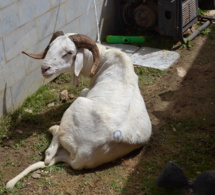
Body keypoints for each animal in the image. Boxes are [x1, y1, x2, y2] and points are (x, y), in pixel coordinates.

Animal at [6, 32, 151, 189]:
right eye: (50, 47)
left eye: (69, 52)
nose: (44, 69)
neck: (104, 63)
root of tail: (83, 154)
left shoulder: (85, 93)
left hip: (77, 105)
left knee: (49, 155)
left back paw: (53, 128)